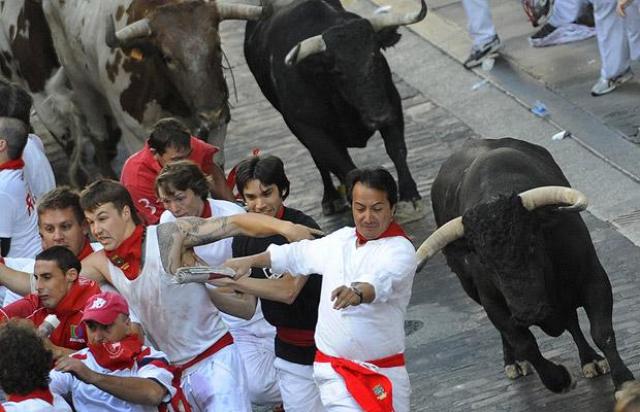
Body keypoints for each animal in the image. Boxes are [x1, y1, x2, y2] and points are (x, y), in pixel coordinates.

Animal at [244, 0, 424, 220]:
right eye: (338, 71)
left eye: (376, 56)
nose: (379, 116)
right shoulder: (309, 128)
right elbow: (342, 165)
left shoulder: (392, 103)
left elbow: (396, 149)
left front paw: (410, 198)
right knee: (321, 161)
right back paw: (331, 198)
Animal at [418, 138, 632, 392]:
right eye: (484, 261)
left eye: (531, 242)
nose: (528, 312)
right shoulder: (494, 305)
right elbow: (524, 343)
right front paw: (559, 379)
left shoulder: (594, 278)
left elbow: (602, 331)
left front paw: (624, 381)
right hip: (473, 292)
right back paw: (514, 362)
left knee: (572, 322)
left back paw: (590, 359)